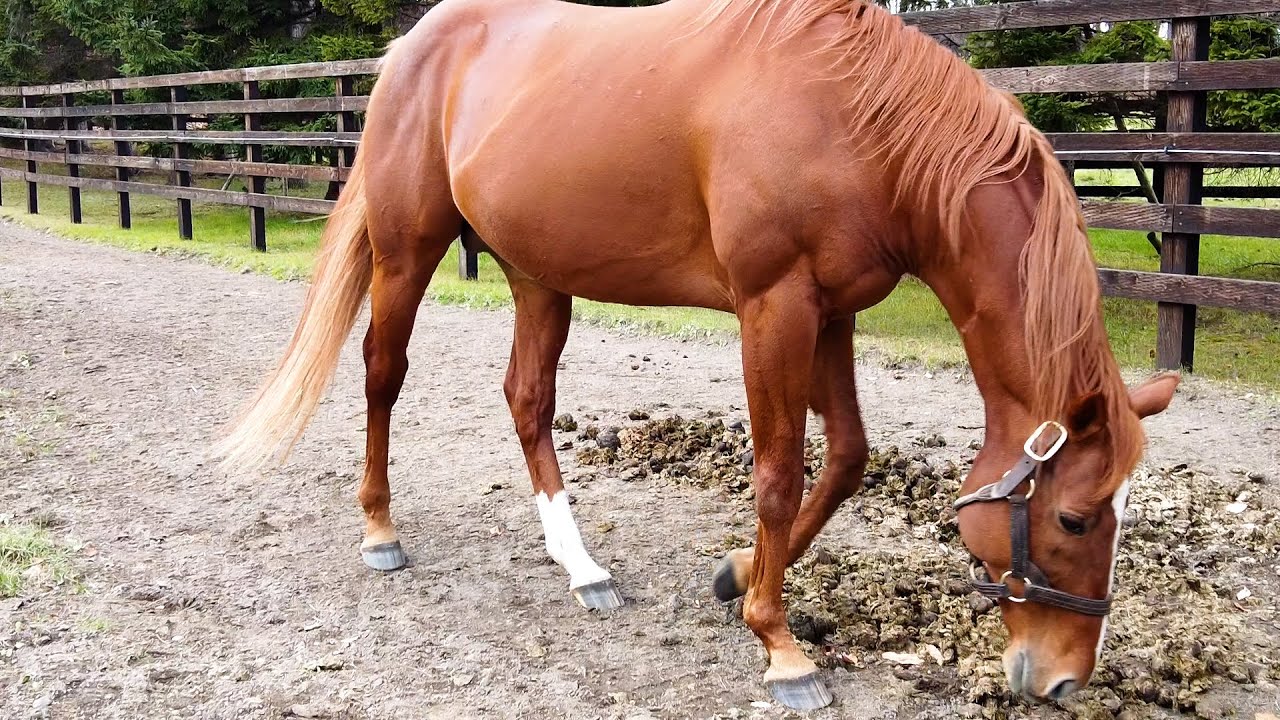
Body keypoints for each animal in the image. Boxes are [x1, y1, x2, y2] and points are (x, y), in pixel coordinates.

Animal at [215, 0, 1180, 709]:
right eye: (1075, 520)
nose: (1064, 679)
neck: (859, 122)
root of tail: (414, 45)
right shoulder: (774, 308)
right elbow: (780, 473)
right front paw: (780, 645)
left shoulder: (831, 313)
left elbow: (847, 456)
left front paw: (740, 573)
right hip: (407, 248)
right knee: (384, 374)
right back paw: (381, 530)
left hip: (537, 274)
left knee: (528, 399)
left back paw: (580, 567)